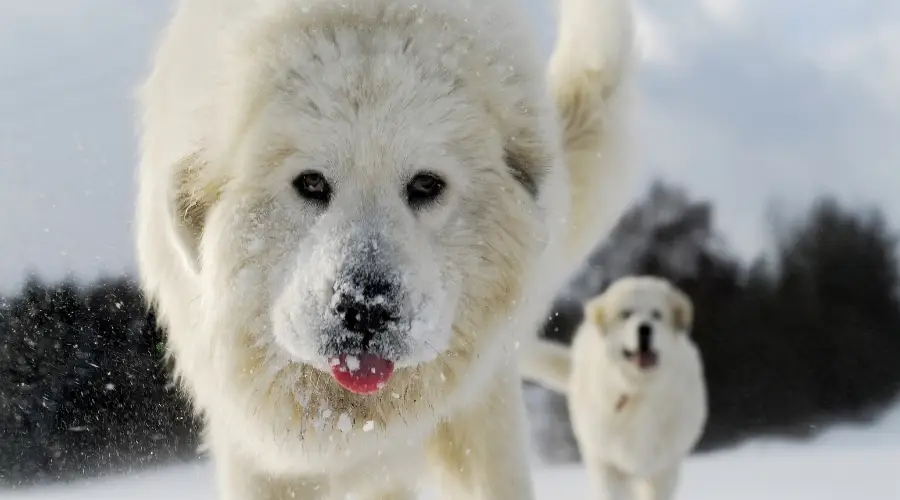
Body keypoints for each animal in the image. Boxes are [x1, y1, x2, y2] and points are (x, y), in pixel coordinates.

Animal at [524, 278, 708, 500]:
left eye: (656, 314)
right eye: (625, 314)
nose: (644, 328)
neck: (638, 390)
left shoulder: (663, 466)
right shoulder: (609, 464)